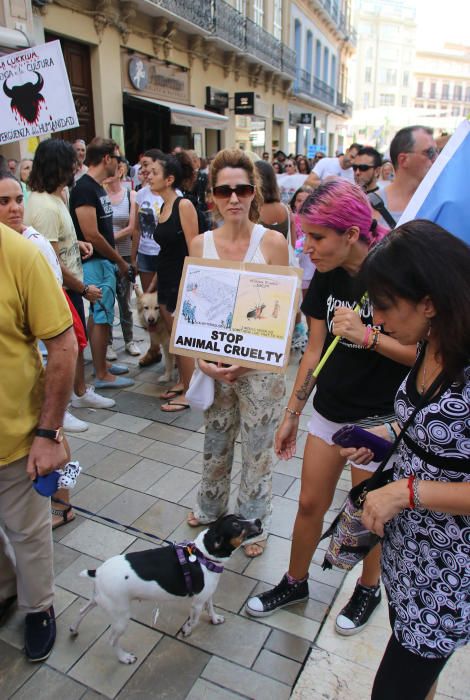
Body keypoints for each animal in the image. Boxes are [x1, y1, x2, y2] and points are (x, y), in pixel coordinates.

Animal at [70, 516, 262, 660]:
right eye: (236, 525)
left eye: (241, 516)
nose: (259, 520)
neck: (203, 555)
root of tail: (98, 572)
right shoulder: (197, 604)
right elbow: (194, 620)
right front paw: (186, 630)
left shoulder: (207, 595)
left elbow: (211, 608)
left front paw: (215, 620)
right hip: (121, 618)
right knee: (111, 640)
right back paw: (124, 658)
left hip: (99, 601)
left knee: (81, 611)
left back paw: (73, 629)